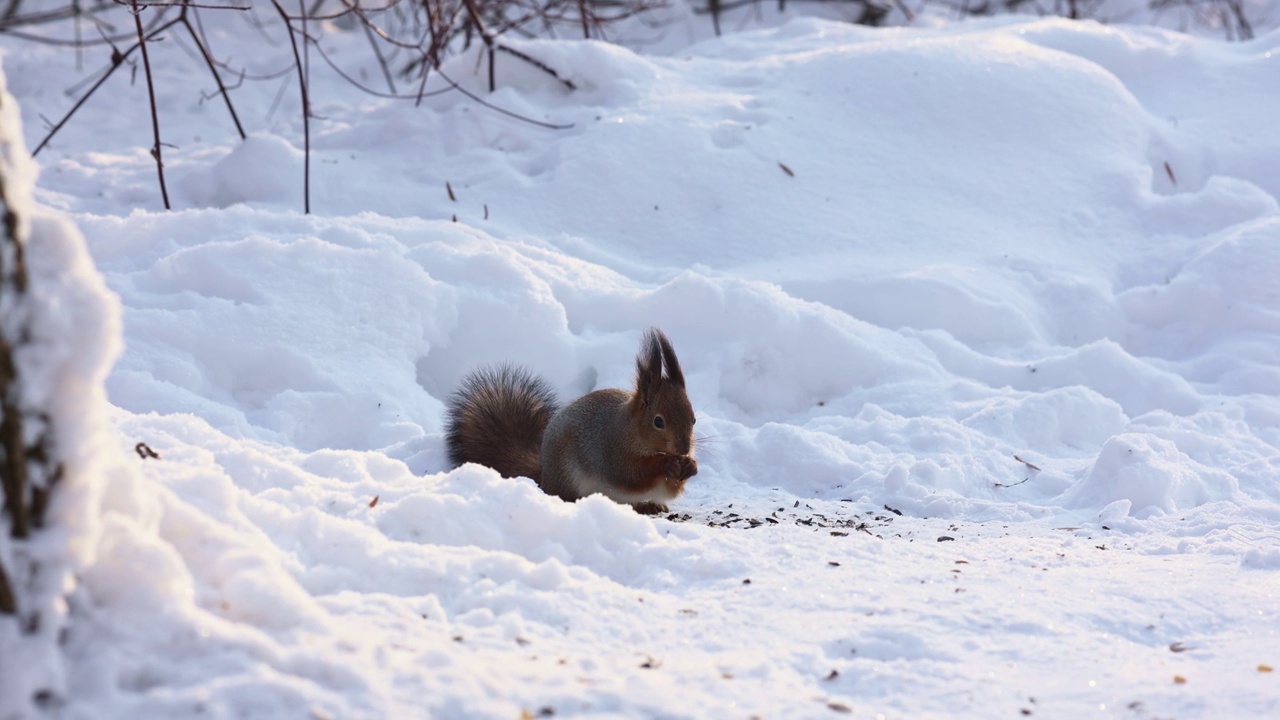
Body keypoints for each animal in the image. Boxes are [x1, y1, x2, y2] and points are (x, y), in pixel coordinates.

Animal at [442, 327, 701, 512]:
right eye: (658, 422)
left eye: (693, 419)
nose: (683, 448)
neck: (631, 429)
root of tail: (544, 474)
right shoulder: (612, 451)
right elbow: (632, 474)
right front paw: (666, 464)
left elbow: (671, 488)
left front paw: (690, 466)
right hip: (568, 475)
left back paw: (650, 505)